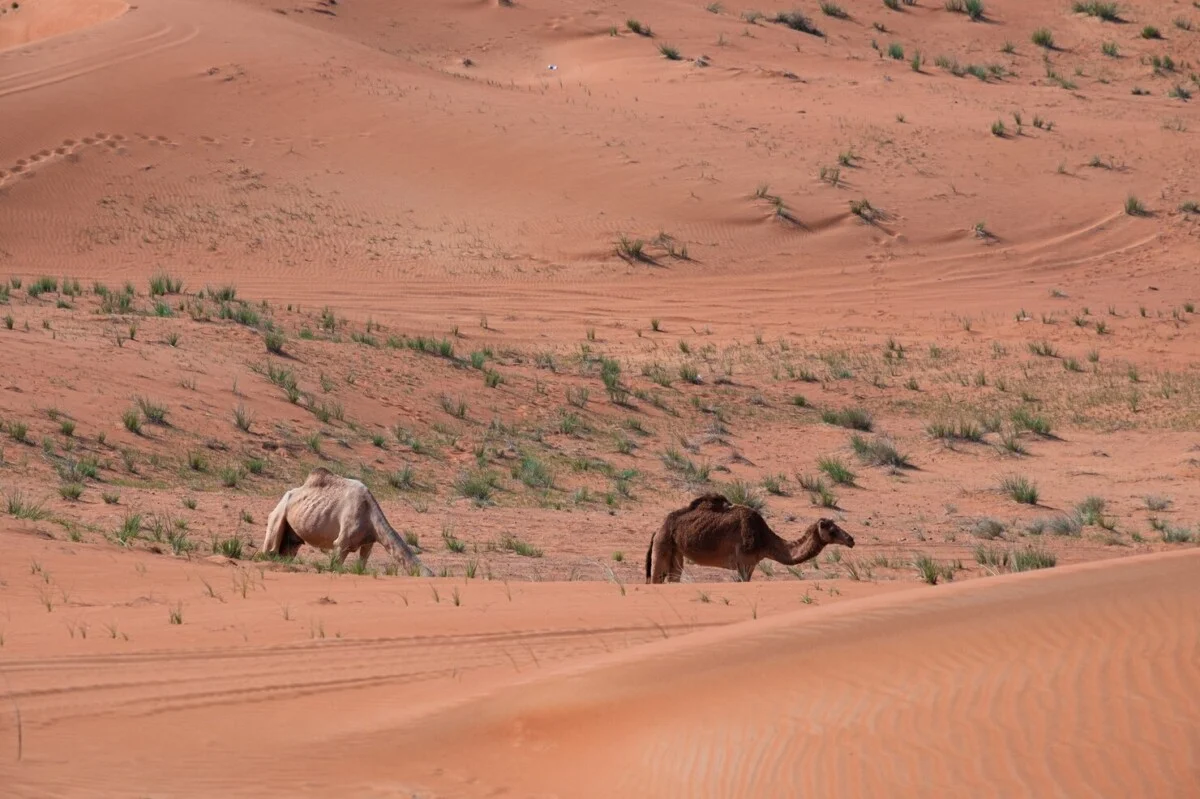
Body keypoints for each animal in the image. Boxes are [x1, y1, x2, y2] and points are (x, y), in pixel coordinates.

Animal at [262, 467, 432, 575]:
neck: (370, 515)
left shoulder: (368, 542)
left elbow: (362, 565)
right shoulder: (342, 542)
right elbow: (335, 566)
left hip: (292, 534)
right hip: (278, 516)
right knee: (270, 549)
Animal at [645, 493, 855, 583]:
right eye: (832, 529)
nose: (851, 539)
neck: (764, 539)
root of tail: (656, 529)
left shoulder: (751, 564)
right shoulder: (744, 562)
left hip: (676, 552)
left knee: (673, 577)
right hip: (662, 544)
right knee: (656, 577)